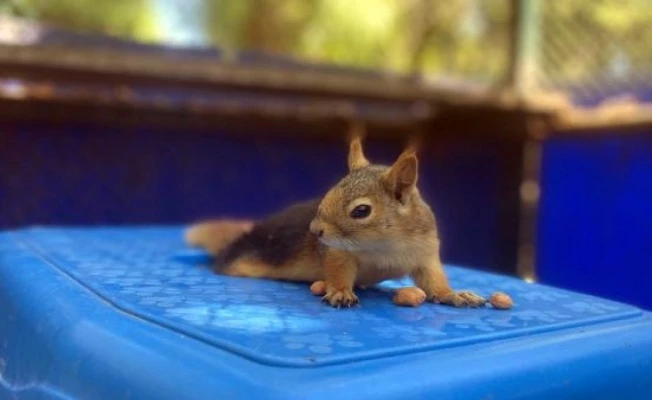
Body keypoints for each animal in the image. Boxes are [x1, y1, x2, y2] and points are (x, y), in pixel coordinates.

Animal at [186, 136, 486, 308]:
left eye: (361, 211)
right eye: (328, 192)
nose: (315, 231)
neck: (385, 246)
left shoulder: (425, 253)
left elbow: (434, 280)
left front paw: (453, 294)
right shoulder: (337, 252)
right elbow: (338, 271)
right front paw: (341, 292)